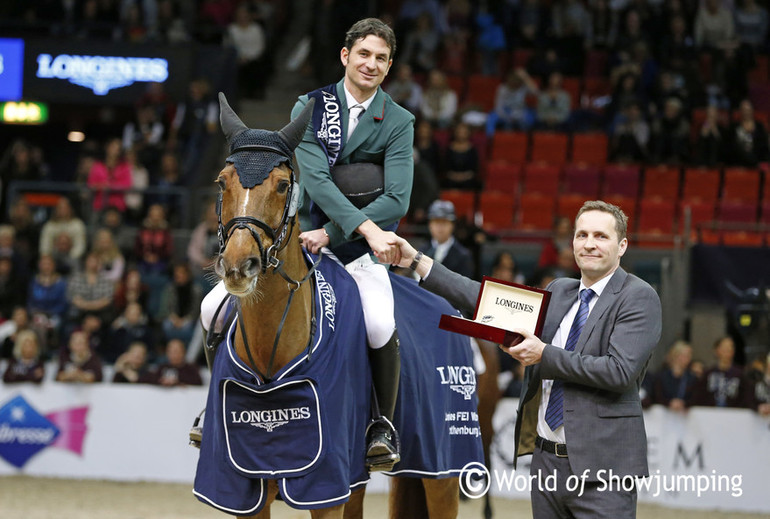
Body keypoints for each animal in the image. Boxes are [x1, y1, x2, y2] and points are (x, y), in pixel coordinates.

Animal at [191, 94, 480, 519]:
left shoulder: (325, 483)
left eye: (282, 185)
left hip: (443, 464)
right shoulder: (242, 487)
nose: (239, 267)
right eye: (221, 182)